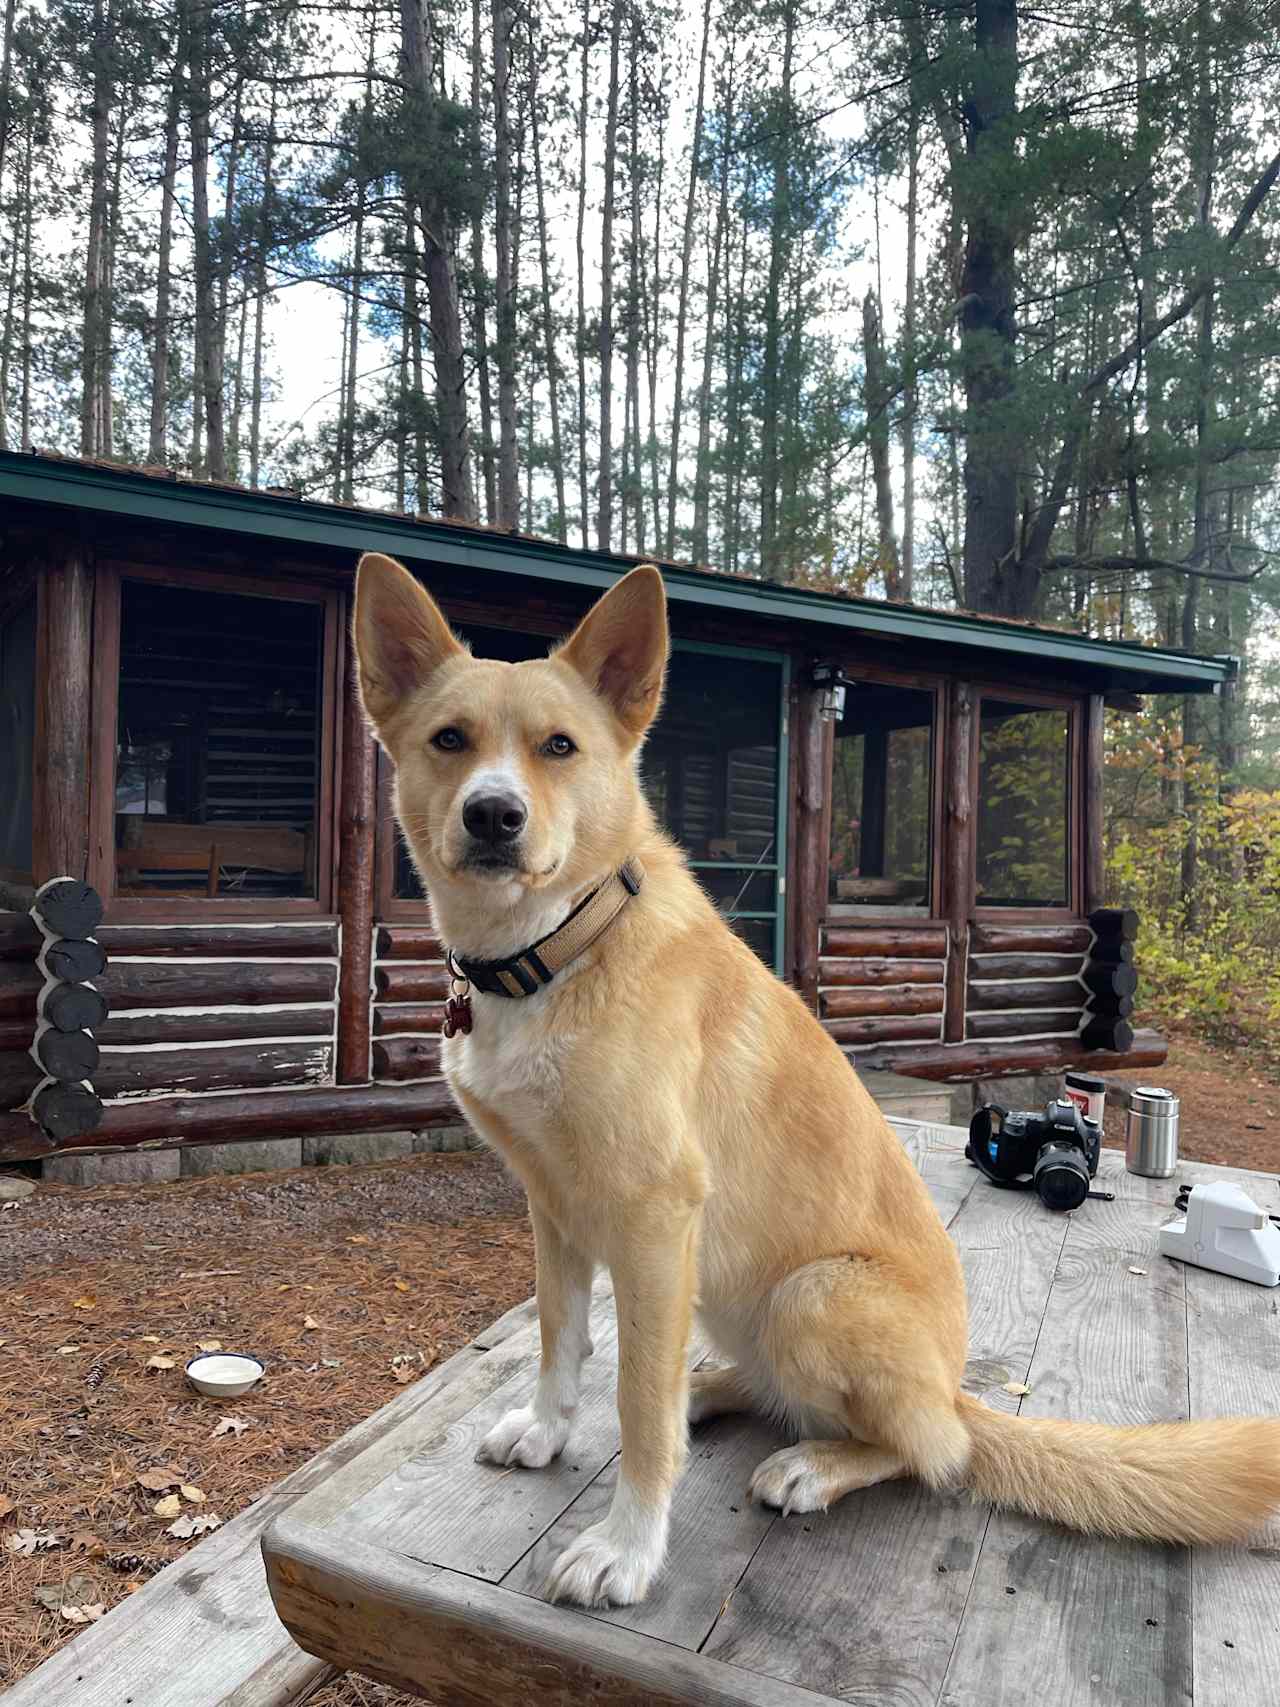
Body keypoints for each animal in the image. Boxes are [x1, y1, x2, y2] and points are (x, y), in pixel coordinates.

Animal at [356, 553, 1280, 1604]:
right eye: (449, 739)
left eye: (559, 746)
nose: (493, 815)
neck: (557, 951)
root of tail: (954, 1385)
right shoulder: (552, 1203)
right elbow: (562, 1338)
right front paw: (550, 1431)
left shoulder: (652, 1214)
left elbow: (635, 1403)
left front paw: (627, 1547)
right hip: (727, 1294)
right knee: (758, 1385)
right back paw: (713, 1389)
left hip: (812, 1294)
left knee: (932, 1448)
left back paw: (813, 1461)